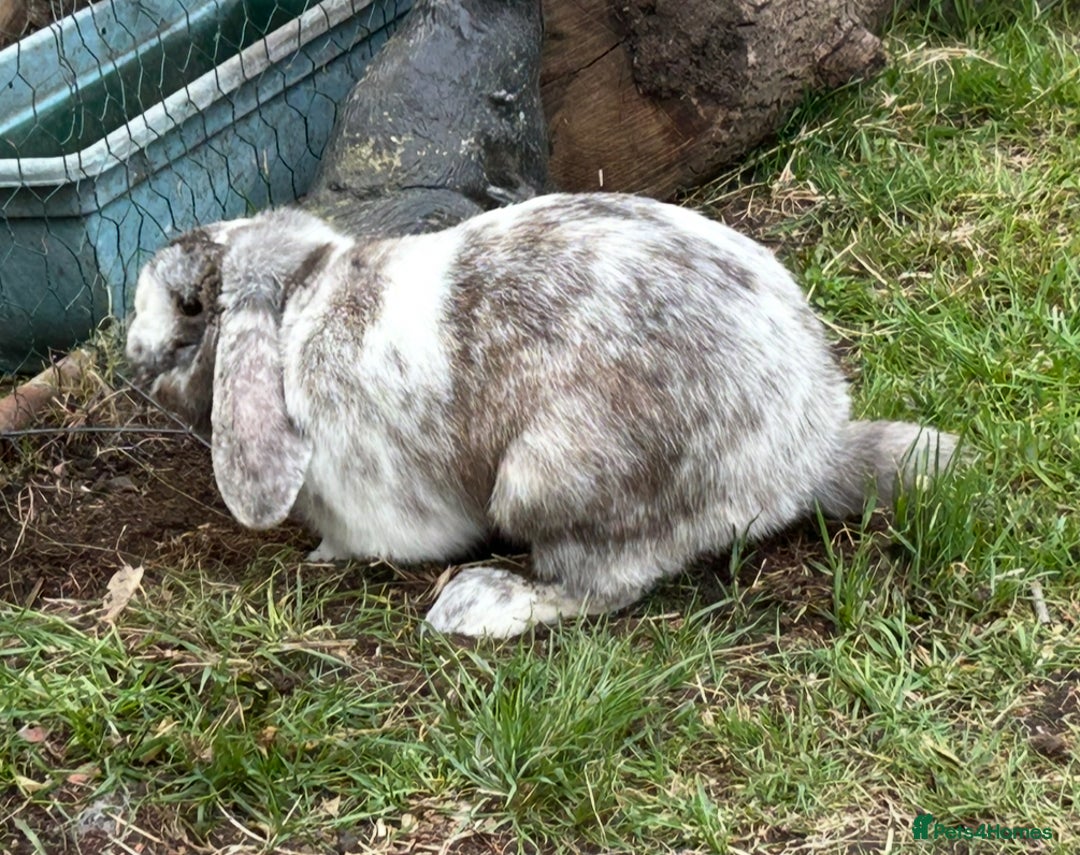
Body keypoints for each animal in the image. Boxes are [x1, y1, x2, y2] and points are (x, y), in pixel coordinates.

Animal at [125, 192, 957, 638]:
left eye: (189, 304)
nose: (128, 349)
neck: (302, 302)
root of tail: (802, 459)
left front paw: (321, 557)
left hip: (548, 482)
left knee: (597, 589)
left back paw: (474, 604)